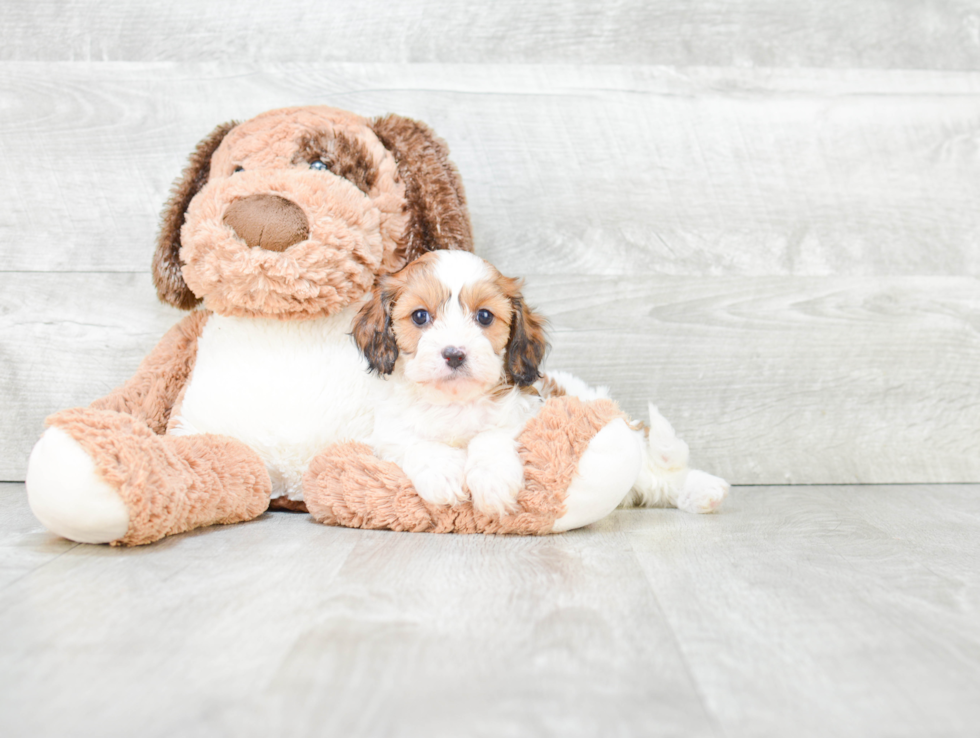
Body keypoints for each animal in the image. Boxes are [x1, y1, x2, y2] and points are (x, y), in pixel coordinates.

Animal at [354, 250, 552, 516]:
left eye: (484, 316)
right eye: (420, 316)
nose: (454, 355)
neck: (453, 400)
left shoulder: (525, 410)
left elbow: (492, 435)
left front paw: (493, 478)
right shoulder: (389, 433)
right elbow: (415, 442)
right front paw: (443, 473)